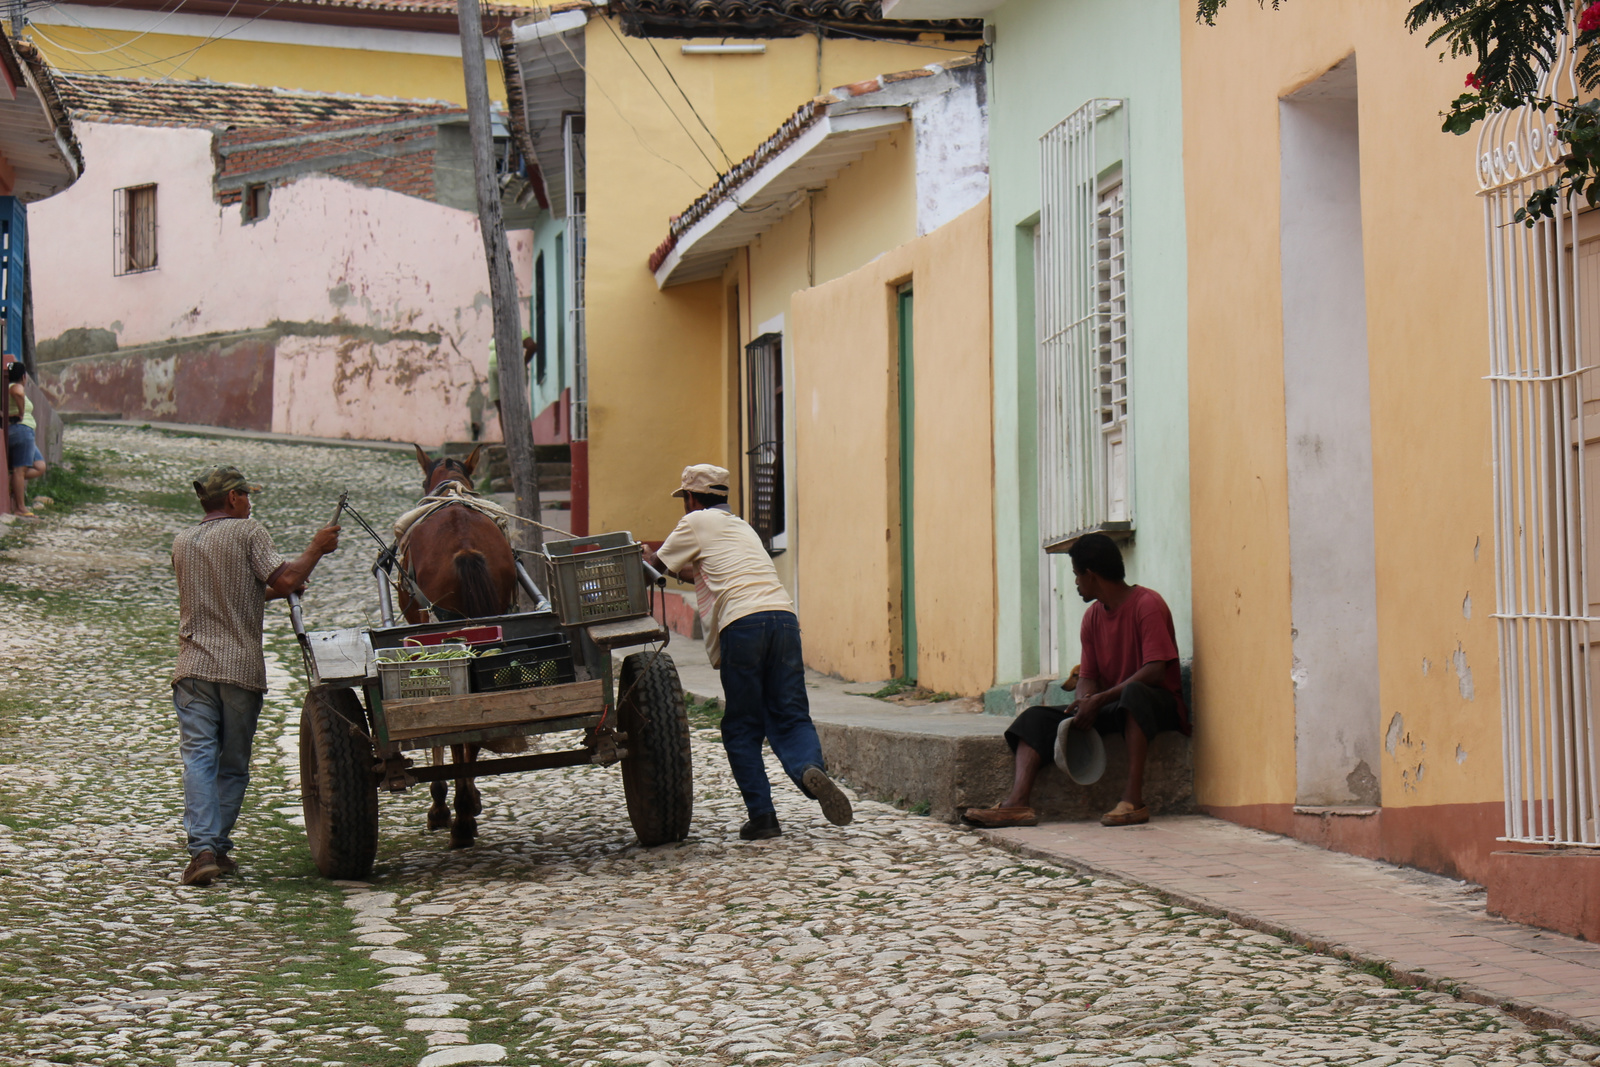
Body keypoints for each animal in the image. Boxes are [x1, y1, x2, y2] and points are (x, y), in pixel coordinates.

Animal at [400, 447, 518, 844]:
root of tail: (465, 546)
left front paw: (439, 805)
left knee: (455, 729)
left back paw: (460, 817)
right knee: (476, 724)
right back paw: (467, 809)